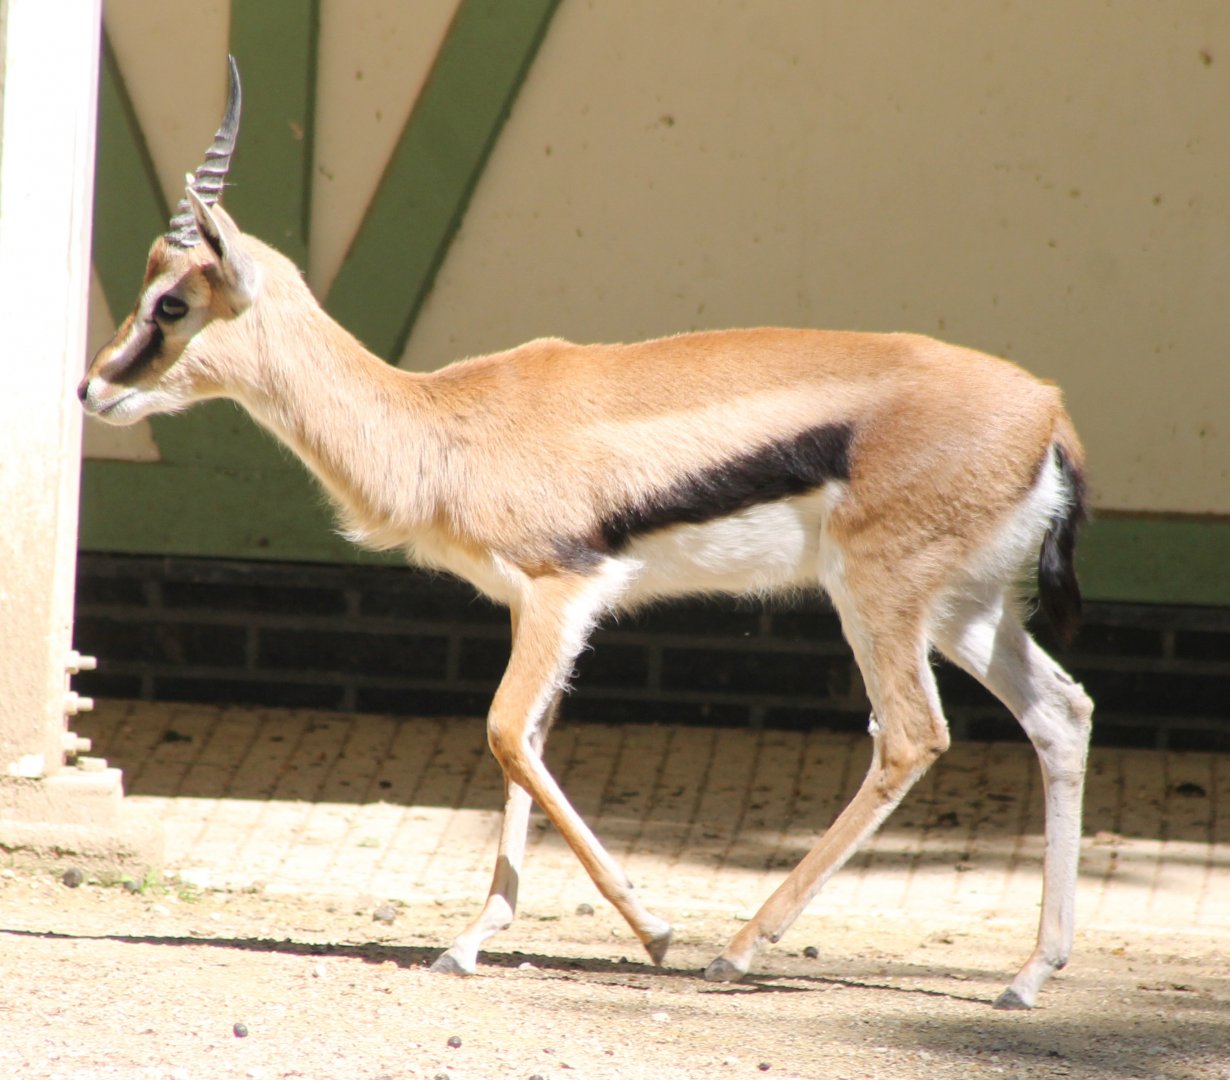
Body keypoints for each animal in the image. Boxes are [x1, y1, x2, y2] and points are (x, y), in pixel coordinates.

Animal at [80, 57, 1094, 1009]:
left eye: (173, 303)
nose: (91, 387)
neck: (441, 424)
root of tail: (1048, 411)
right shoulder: (539, 609)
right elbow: (527, 746)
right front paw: (468, 943)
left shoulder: (563, 592)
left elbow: (504, 733)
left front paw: (656, 932)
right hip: (963, 610)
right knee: (1061, 712)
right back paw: (1030, 974)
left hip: (879, 598)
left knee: (912, 736)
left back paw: (738, 948)